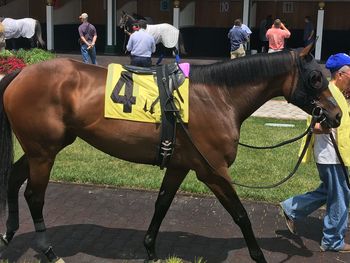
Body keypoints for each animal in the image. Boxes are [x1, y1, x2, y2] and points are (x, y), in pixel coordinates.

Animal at [0, 44, 342, 262]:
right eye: (315, 78)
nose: (336, 115)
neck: (218, 97)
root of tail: (22, 74)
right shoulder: (213, 171)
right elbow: (241, 214)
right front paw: (259, 256)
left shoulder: (180, 165)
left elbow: (162, 204)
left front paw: (150, 249)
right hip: (43, 151)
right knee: (34, 195)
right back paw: (47, 250)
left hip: (45, 147)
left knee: (13, 179)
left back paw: (9, 234)